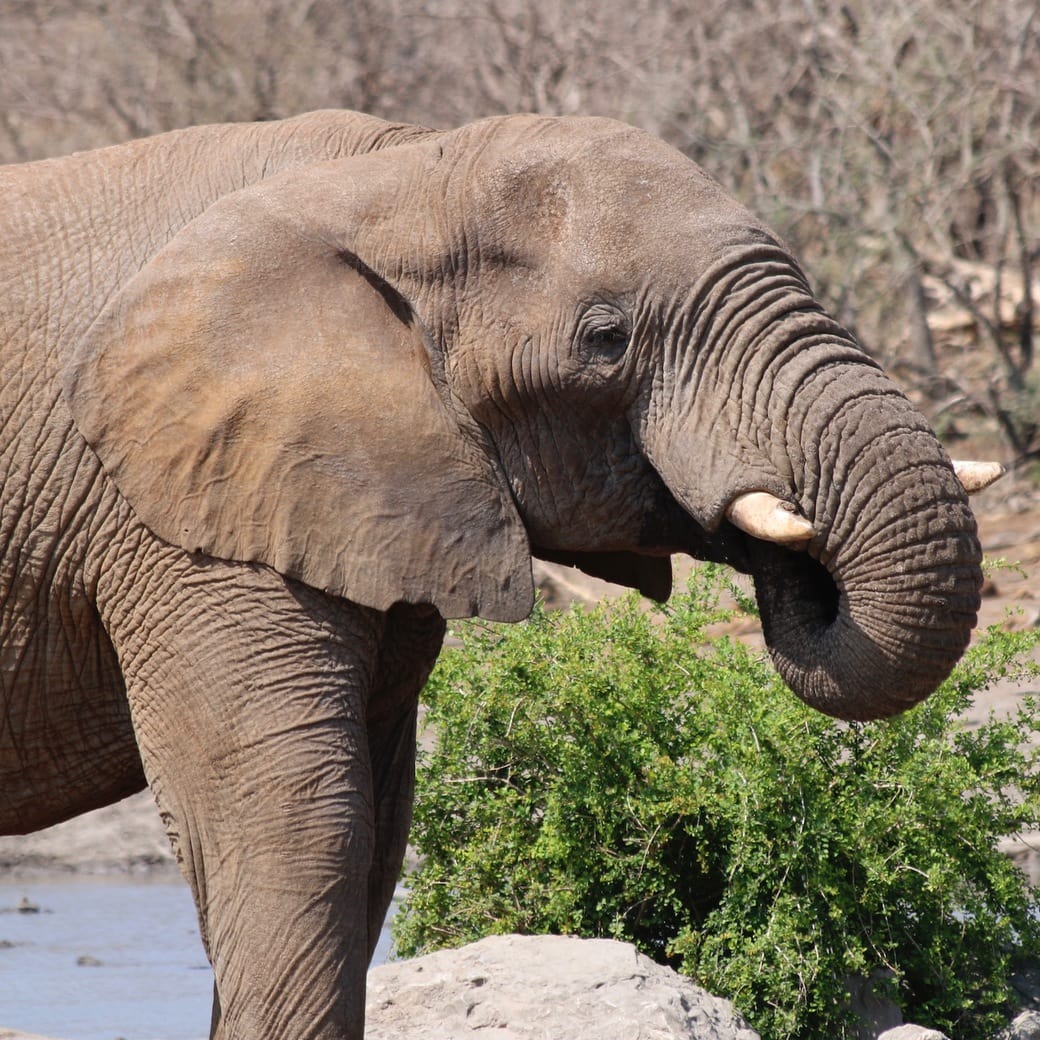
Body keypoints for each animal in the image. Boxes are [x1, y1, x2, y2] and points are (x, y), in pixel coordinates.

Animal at [0, 109, 998, 1039]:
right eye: (606, 338)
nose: (800, 559)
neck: (397, 171)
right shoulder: (182, 510)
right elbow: (300, 822)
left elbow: (375, 833)